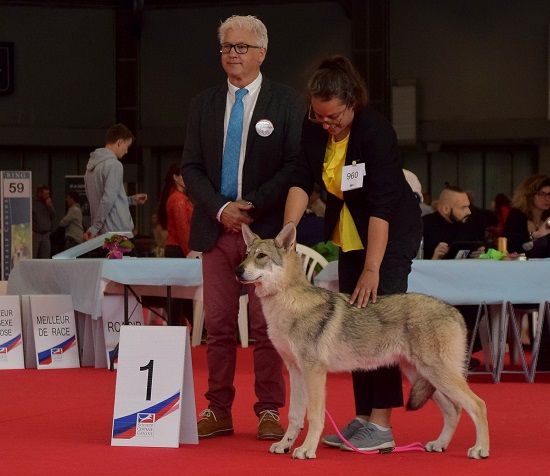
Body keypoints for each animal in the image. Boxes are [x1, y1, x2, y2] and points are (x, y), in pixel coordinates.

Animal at [237, 223, 492, 462]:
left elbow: (314, 417)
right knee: (454, 410)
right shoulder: (295, 371)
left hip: (436, 374)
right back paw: (439, 444)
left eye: (261, 256)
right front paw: (285, 445)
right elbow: (294, 416)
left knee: (477, 405)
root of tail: (454, 311)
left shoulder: (314, 372)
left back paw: (480, 449)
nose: (238, 270)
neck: (288, 304)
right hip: (422, 376)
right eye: (247, 253)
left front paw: (306, 449)